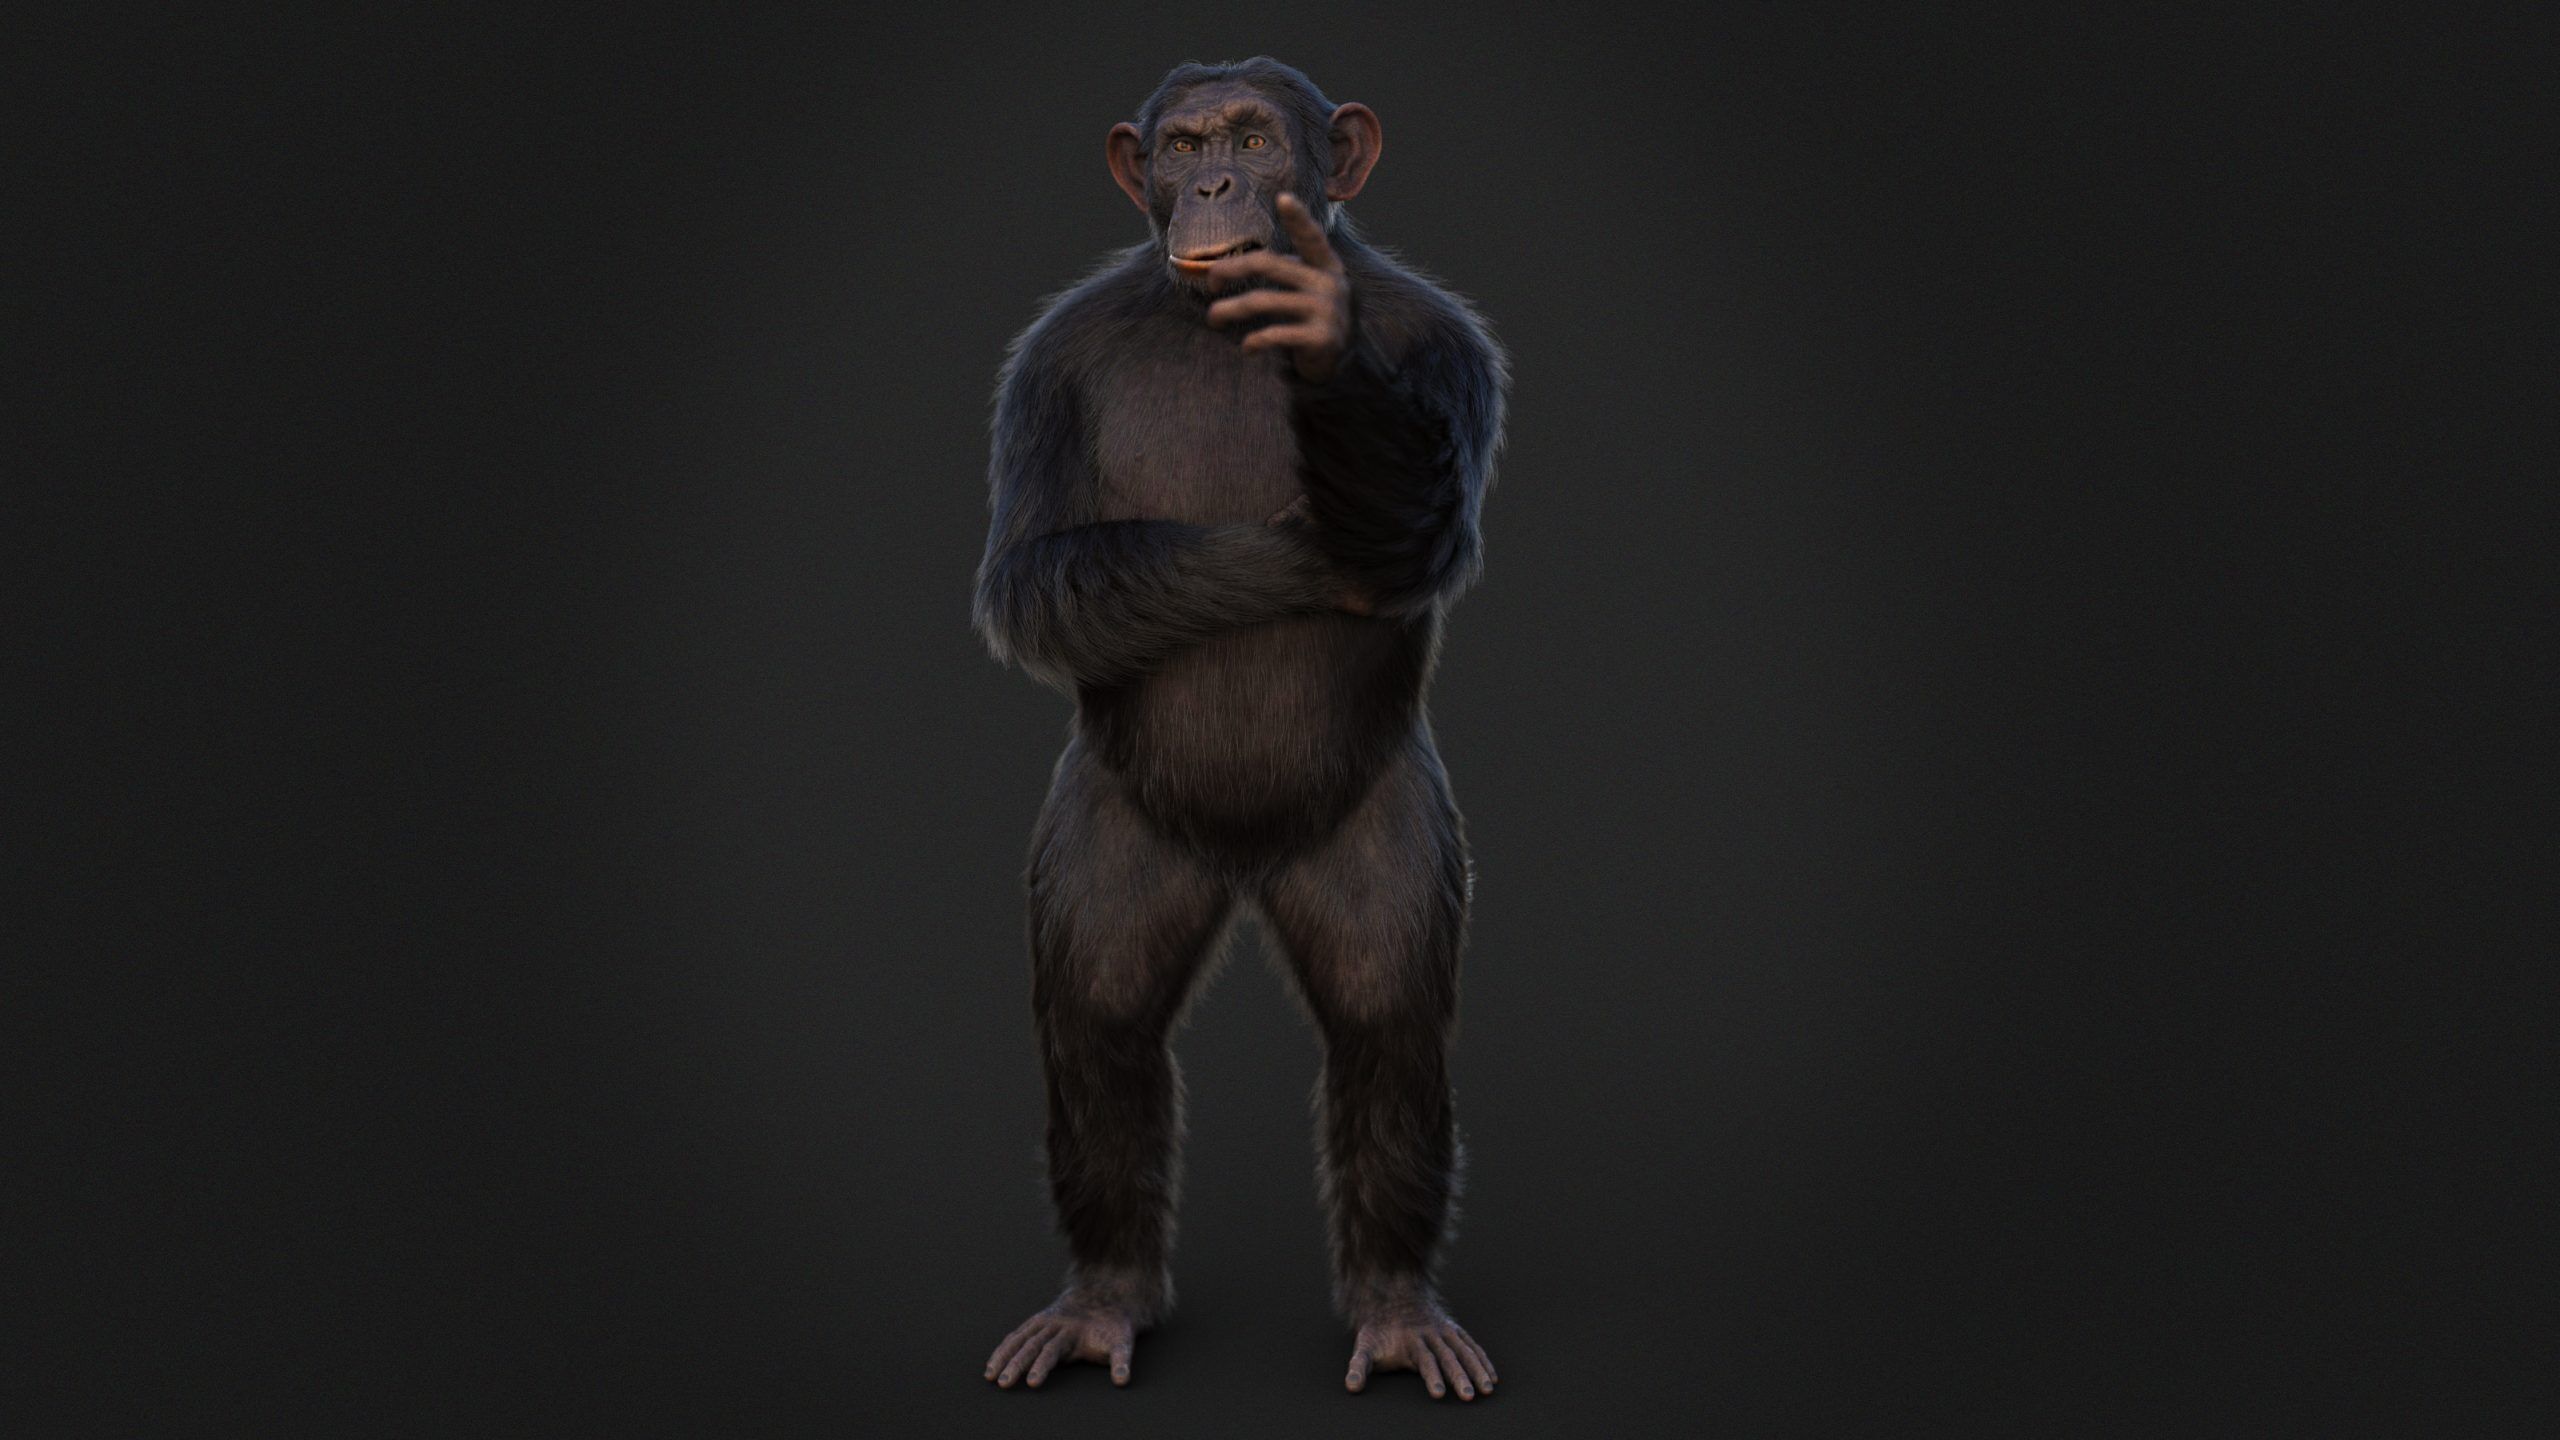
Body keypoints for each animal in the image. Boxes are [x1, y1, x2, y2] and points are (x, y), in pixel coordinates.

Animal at [972, 57, 1508, 1401]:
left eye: (1258, 138)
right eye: (1182, 145)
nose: (1215, 184)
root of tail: (1247, 861)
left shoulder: (1451, 345)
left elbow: (1425, 532)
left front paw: (1327, 348)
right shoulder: (1044, 365)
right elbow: (1027, 576)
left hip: (1374, 833)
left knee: (1384, 1020)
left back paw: (1395, 1309)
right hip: (1117, 836)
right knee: (1101, 1018)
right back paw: (1100, 1300)